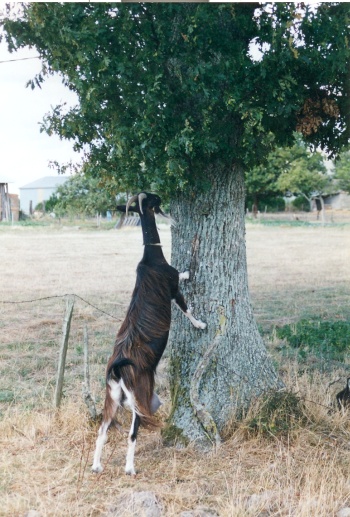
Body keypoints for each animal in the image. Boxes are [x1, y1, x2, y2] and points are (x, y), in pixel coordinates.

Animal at [91, 191, 206, 474]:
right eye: (154, 198)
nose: (163, 197)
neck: (150, 259)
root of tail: (118, 369)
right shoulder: (173, 288)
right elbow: (186, 306)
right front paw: (200, 324)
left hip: (112, 398)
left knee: (102, 429)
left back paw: (97, 465)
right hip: (137, 398)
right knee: (133, 432)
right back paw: (129, 468)